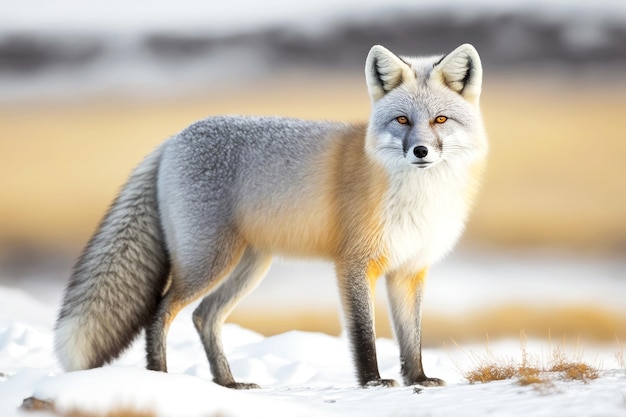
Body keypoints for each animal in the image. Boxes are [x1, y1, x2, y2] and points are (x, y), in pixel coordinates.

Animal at [54, 44, 488, 388]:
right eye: (402, 120)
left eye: (440, 120)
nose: (420, 151)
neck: (418, 199)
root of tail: (172, 139)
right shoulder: (355, 264)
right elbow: (363, 334)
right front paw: (373, 383)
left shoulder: (409, 270)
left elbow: (411, 338)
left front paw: (418, 379)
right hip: (209, 262)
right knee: (159, 313)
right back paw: (160, 379)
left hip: (248, 266)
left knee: (203, 317)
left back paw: (228, 383)